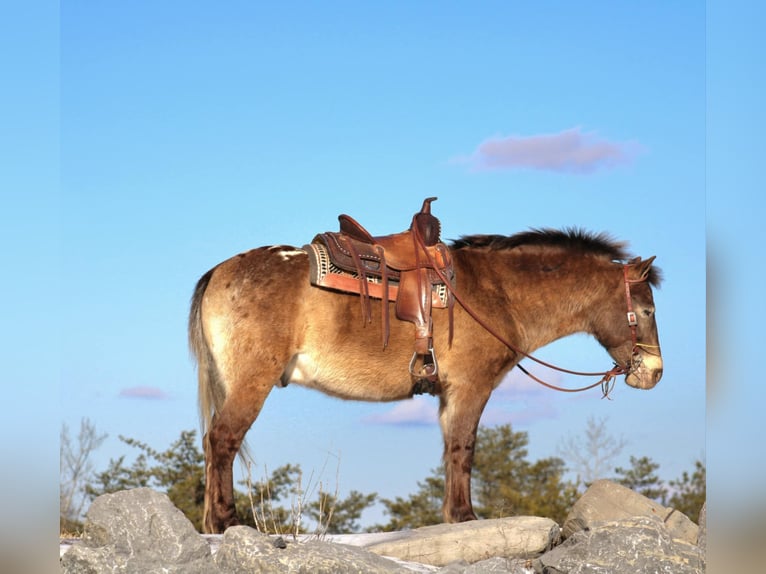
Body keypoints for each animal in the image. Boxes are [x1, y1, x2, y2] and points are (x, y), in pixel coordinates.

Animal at [189, 225, 664, 536]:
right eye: (647, 310)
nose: (655, 372)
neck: (498, 293)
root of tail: (218, 272)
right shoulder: (471, 388)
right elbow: (463, 449)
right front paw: (466, 517)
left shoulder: (449, 394)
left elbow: (452, 451)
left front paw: (454, 516)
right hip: (251, 383)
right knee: (224, 441)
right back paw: (226, 521)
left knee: (213, 445)